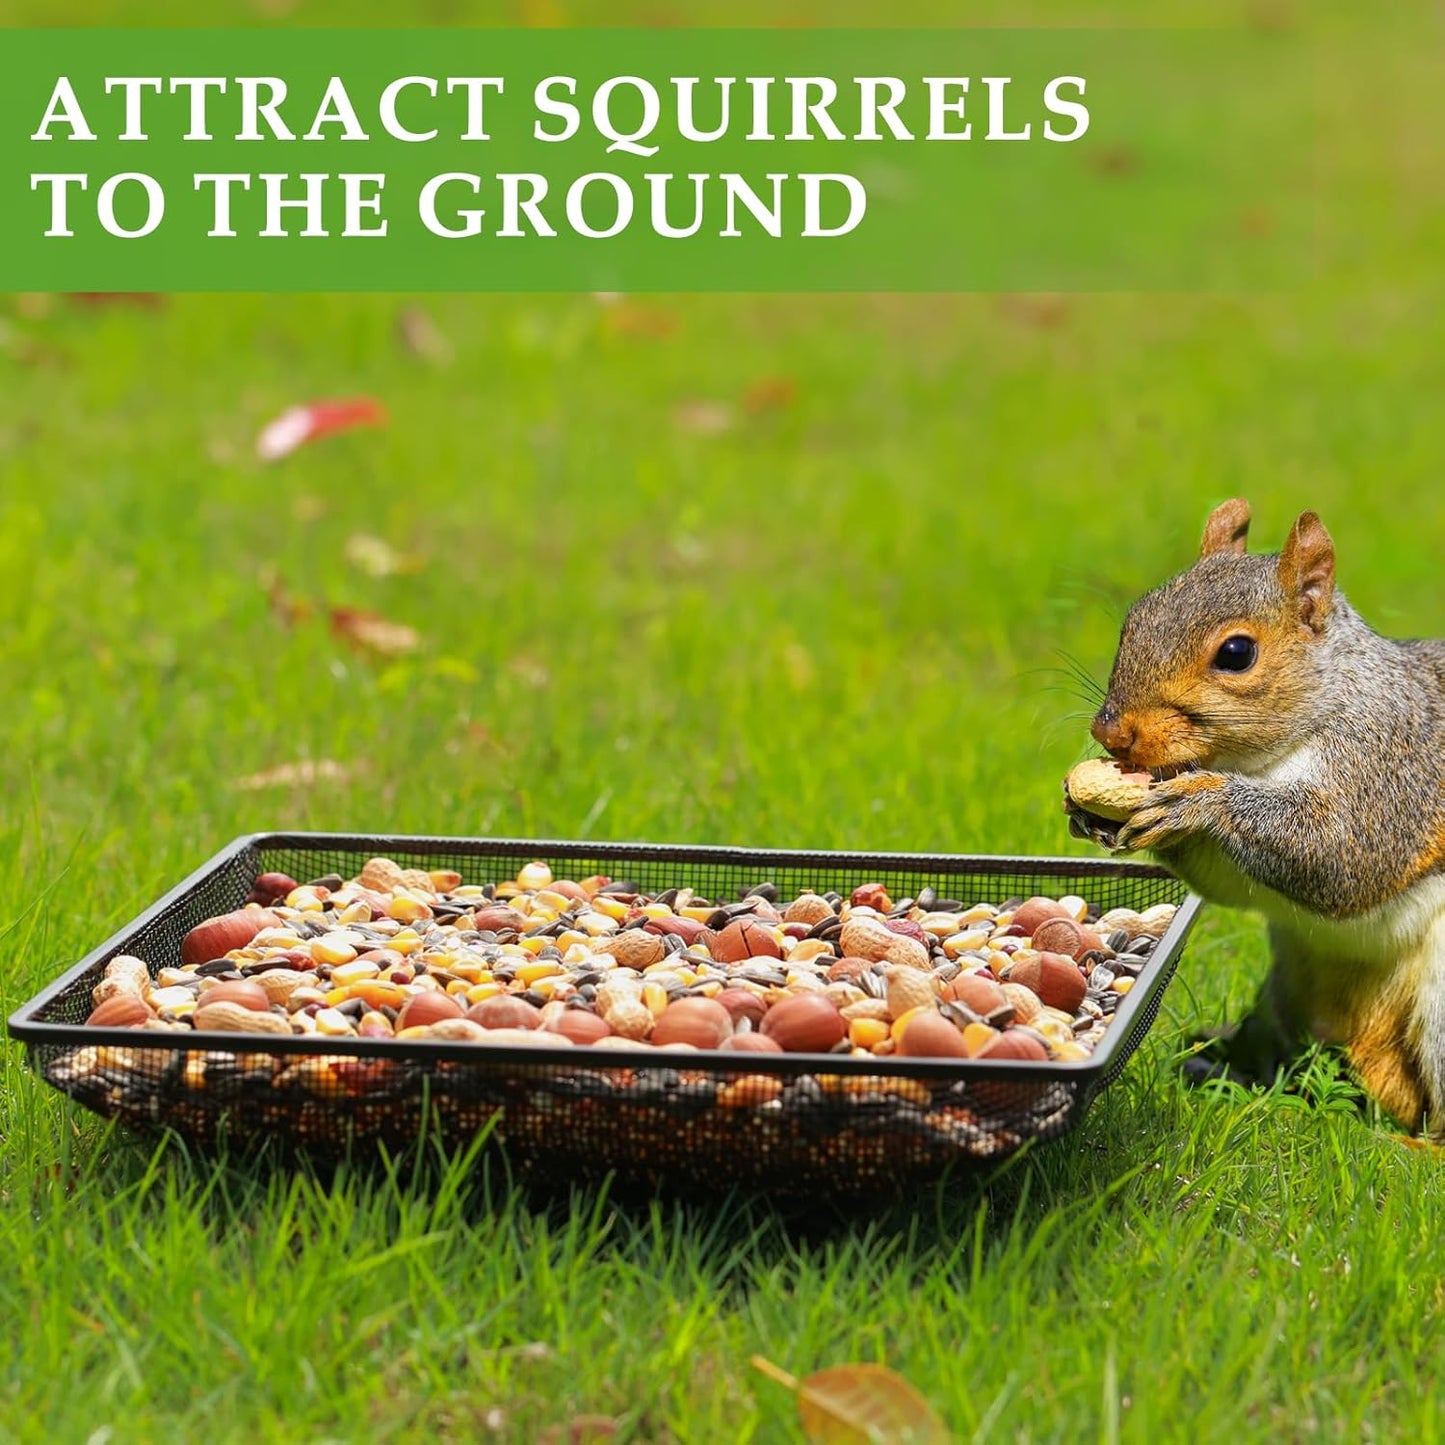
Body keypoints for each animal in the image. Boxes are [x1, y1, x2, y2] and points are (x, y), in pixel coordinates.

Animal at [1064, 498, 1445, 1137]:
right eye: (1134, 618)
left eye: (1236, 654)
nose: (1111, 732)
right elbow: (1233, 883)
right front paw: (1088, 812)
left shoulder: (1388, 767)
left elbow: (1344, 856)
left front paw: (1201, 802)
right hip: (1294, 983)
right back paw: (1225, 1064)